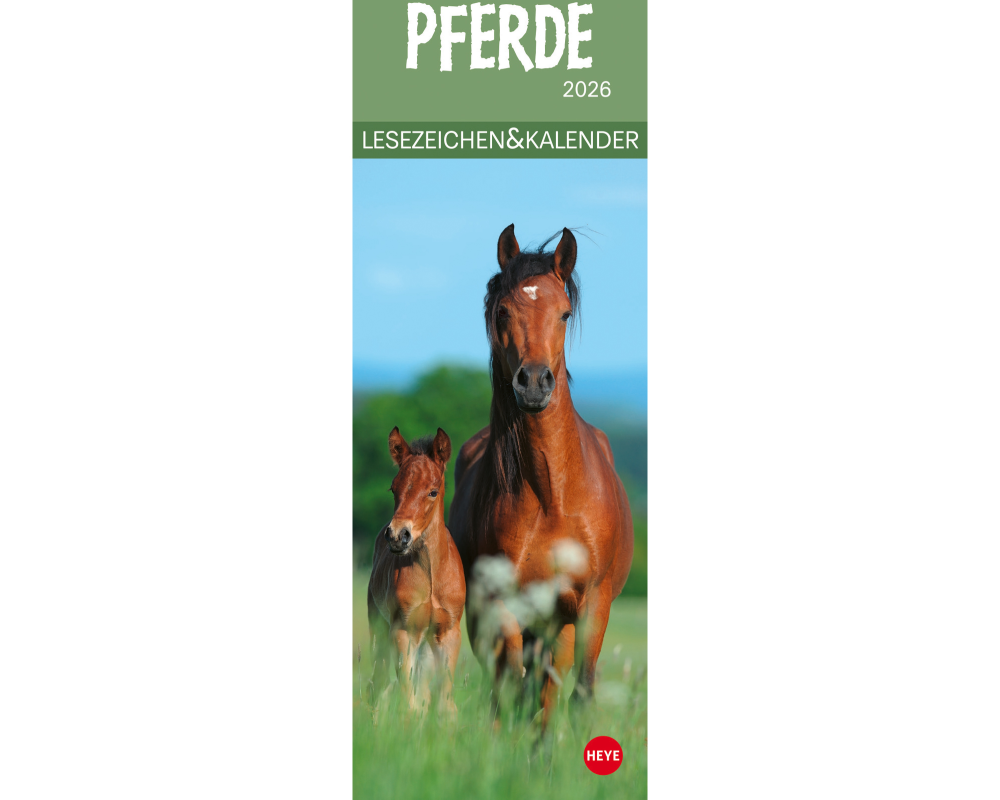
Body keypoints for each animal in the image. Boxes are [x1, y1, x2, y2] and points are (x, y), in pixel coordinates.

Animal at [367, 427, 466, 718]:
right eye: (393, 488)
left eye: (432, 491)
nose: (397, 535)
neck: (433, 577)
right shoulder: (403, 630)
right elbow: (407, 701)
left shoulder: (448, 632)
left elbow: (444, 701)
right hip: (378, 627)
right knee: (379, 681)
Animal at [449, 225, 634, 726]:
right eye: (504, 310)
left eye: (564, 313)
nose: (534, 381)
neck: (553, 494)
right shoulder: (502, 605)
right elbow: (513, 682)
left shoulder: (590, 606)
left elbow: (575, 691)